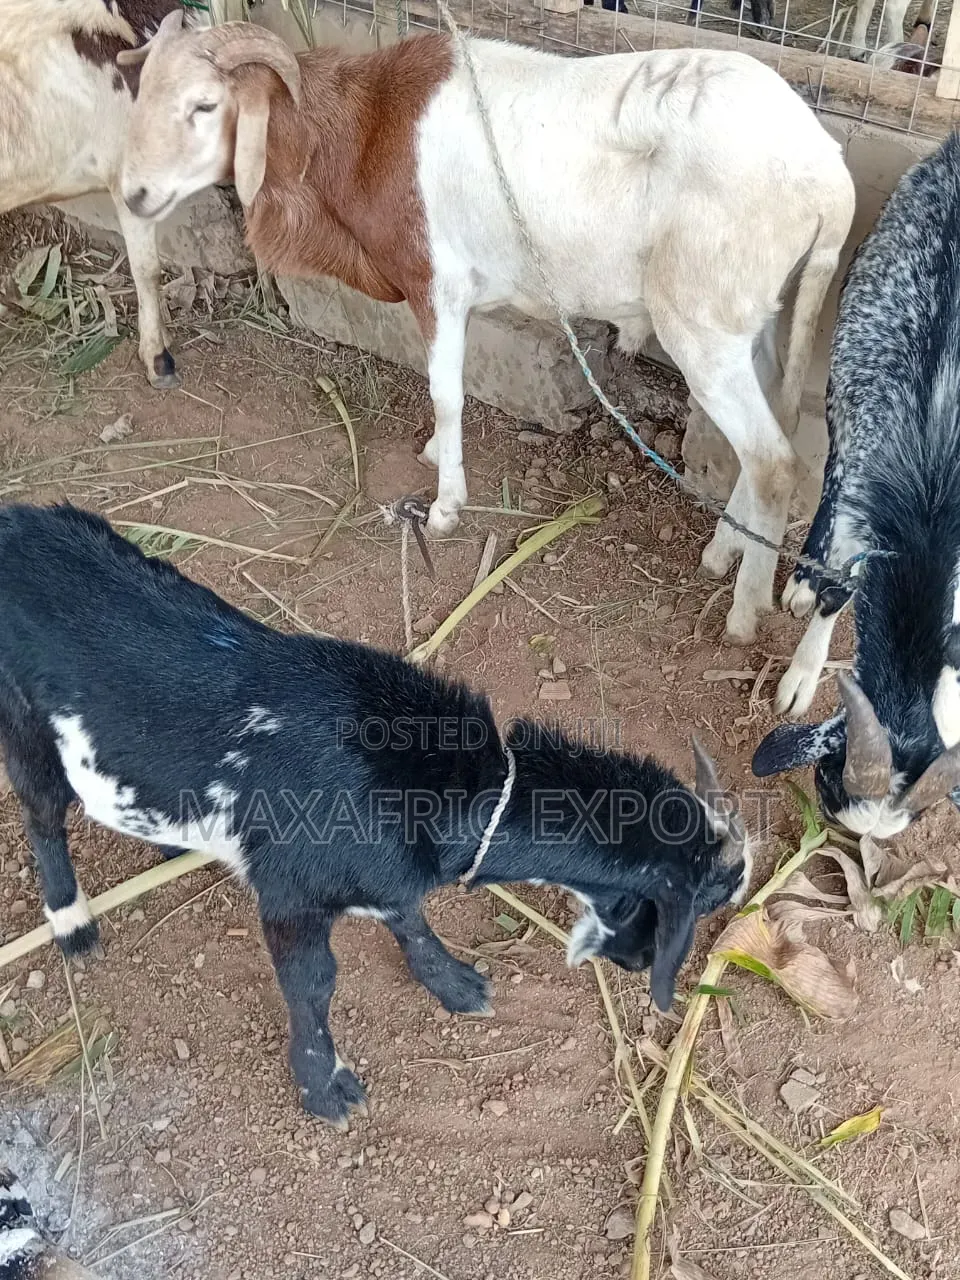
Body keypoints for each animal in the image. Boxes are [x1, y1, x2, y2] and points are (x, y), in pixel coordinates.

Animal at [0, 502, 750, 1122]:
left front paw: (454, 983)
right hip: (24, 722)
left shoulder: (386, 873)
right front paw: (324, 1086)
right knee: (42, 813)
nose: (637, 968)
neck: (452, 788)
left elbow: (408, 916)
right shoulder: (291, 892)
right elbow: (312, 985)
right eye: (704, 901)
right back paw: (72, 923)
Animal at [117, 15, 855, 646]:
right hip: (759, 324)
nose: (134, 196)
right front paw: (434, 456)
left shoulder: (436, 282)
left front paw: (446, 507)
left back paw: (745, 611)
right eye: (142, 93)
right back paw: (721, 552)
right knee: (773, 431)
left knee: (774, 461)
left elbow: (446, 392)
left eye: (205, 105)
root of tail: (832, 183)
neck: (366, 130)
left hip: (703, 327)